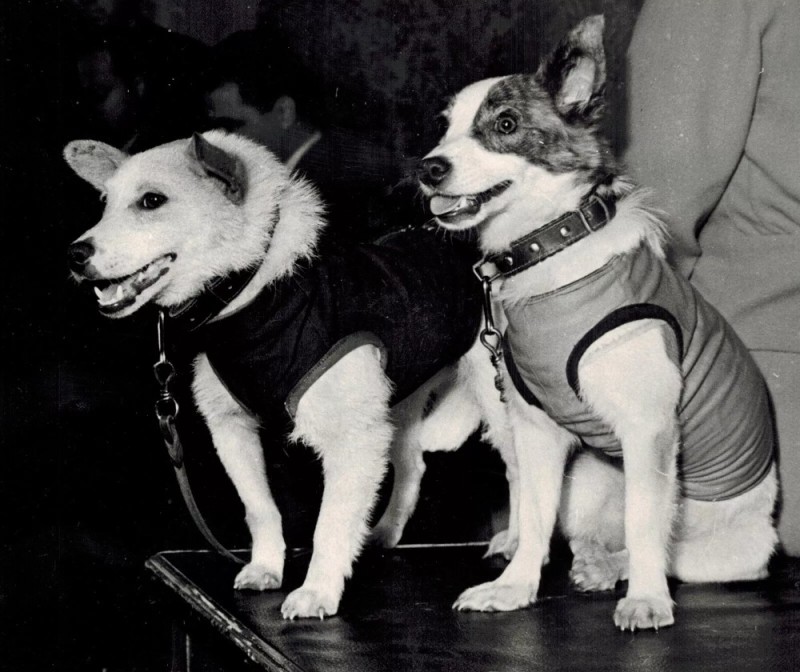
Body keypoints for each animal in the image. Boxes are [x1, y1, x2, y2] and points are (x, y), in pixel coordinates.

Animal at [64, 130, 512, 620]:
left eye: (151, 201)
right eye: (105, 203)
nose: (75, 254)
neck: (256, 291)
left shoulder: (352, 441)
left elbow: (328, 524)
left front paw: (317, 591)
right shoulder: (231, 430)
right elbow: (260, 508)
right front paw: (266, 567)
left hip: (499, 400)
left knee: (524, 472)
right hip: (398, 402)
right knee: (412, 464)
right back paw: (383, 533)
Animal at [416, 14, 780, 632]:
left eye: (506, 124)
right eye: (444, 128)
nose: (428, 168)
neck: (550, 249)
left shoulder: (648, 429)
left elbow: (645, 522)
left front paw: (648, 600)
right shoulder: (538, 431)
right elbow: (535, 517)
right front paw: (515, 588)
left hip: (724, 548)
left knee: (655, 545)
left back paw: (616, 571)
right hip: (585, 481)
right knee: (584, 530)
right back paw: (591, 558)